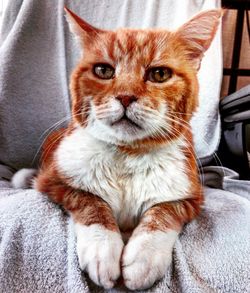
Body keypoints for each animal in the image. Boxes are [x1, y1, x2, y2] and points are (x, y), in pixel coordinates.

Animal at [12, 7, 221, 290]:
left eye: (159, 74)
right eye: (103, 70)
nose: (125, 96)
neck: (127, 154)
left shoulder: (189, 197)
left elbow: (164, 212)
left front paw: (144, 256)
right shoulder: (55, 182)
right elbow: (91, 201)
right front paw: (102, 249)